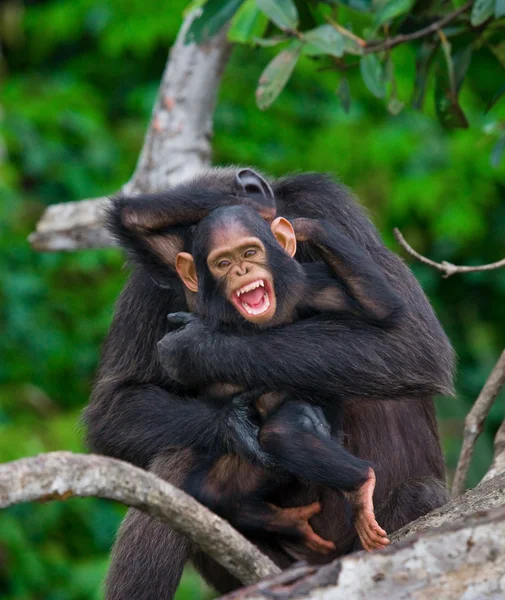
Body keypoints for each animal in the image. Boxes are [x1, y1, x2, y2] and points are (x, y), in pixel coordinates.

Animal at [83, 166, 452, 596]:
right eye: (213, 260)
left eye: (248, 251)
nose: (235, 272)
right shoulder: (149, 278)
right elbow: (116, 407)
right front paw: (233, 422)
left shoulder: (329, 208)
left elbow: (408, 340)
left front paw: (197, 347)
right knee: (180, 461)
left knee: (416, 492)